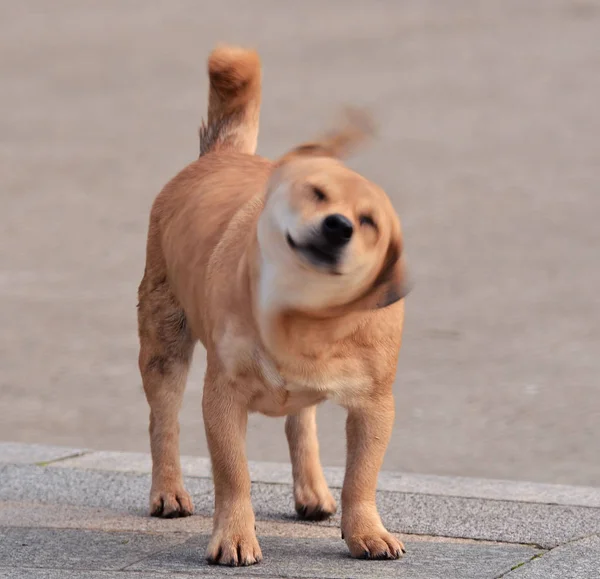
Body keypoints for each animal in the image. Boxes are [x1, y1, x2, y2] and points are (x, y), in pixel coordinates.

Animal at [137, 44, 410, 568]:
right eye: (315, 193)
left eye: (369, 222)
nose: (339, 225)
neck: (304, 320)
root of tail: (224, 154)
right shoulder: (222, 398)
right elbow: (234, 475)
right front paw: (235, 537)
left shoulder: (375, 406)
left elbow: (361, 478)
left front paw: (365, 531)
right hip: (163, 342)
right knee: (163, 421)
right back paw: (168, 492)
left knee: (301, 422)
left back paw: (312, 491)